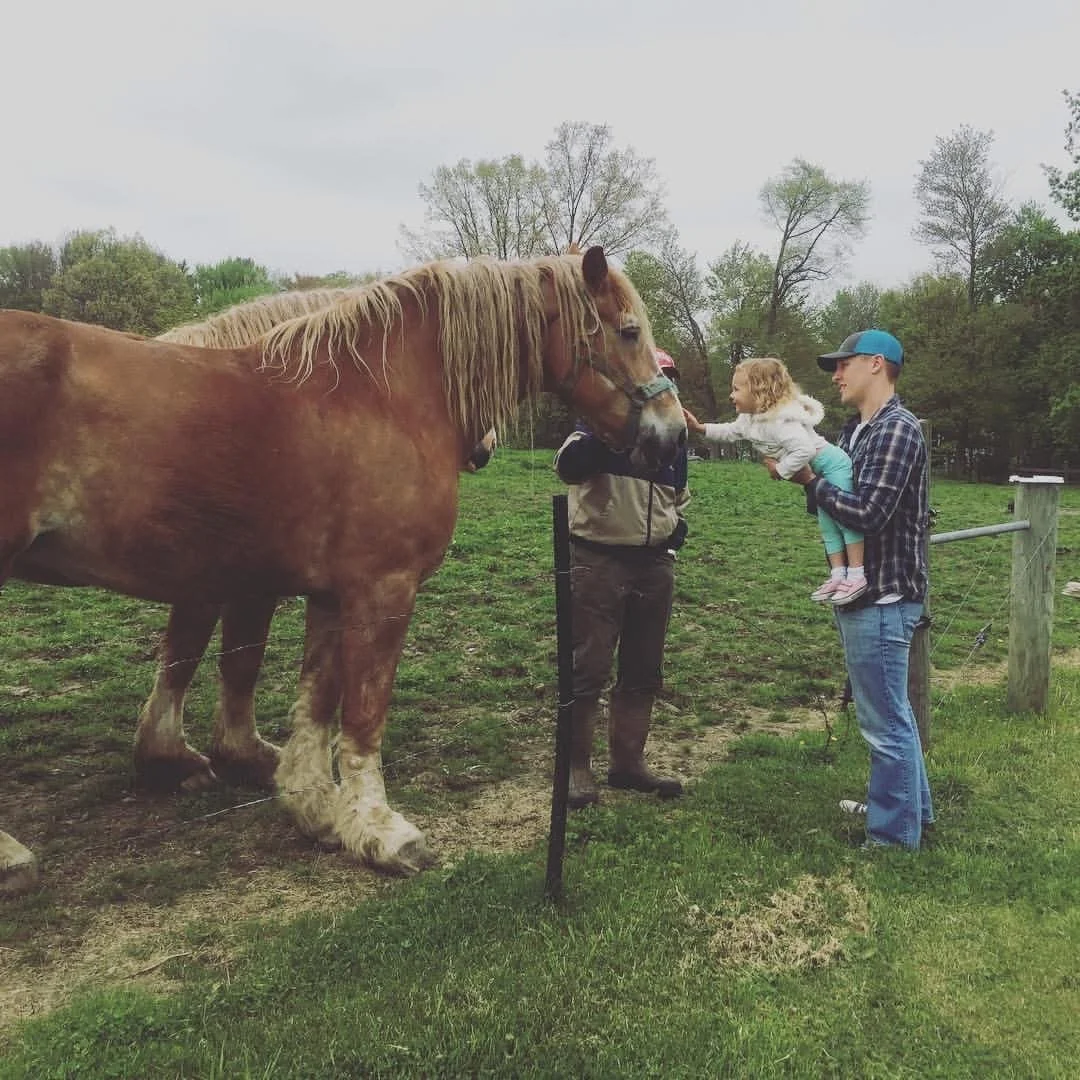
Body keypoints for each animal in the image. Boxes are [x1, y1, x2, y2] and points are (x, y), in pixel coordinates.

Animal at [0, 246, 684, 891]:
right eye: (628, 331)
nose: (674, 434)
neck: (381, 395)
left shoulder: (326, 593)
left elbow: (316, 702)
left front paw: (316, 810)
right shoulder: (378, 590)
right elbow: (360, 712)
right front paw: (382, 831)